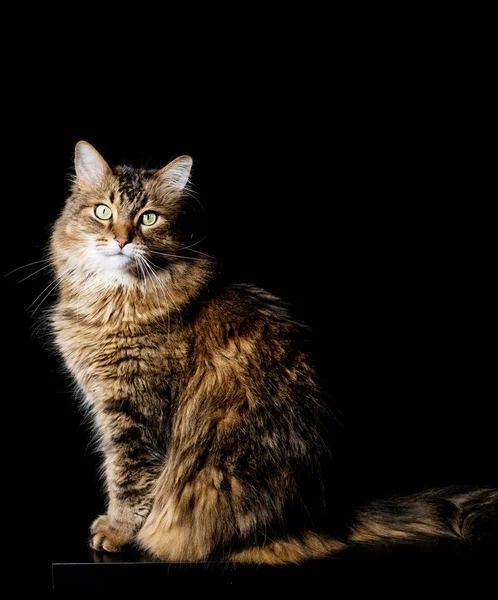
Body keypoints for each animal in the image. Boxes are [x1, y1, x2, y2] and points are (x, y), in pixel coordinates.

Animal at [48, 141, 496, 564]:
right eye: (103, 212)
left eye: (148, 218)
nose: (123, 240)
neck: (113, 302)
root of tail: (323, 517)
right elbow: (118, 473)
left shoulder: (137, 414)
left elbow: (129, 481)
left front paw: (116, 532)